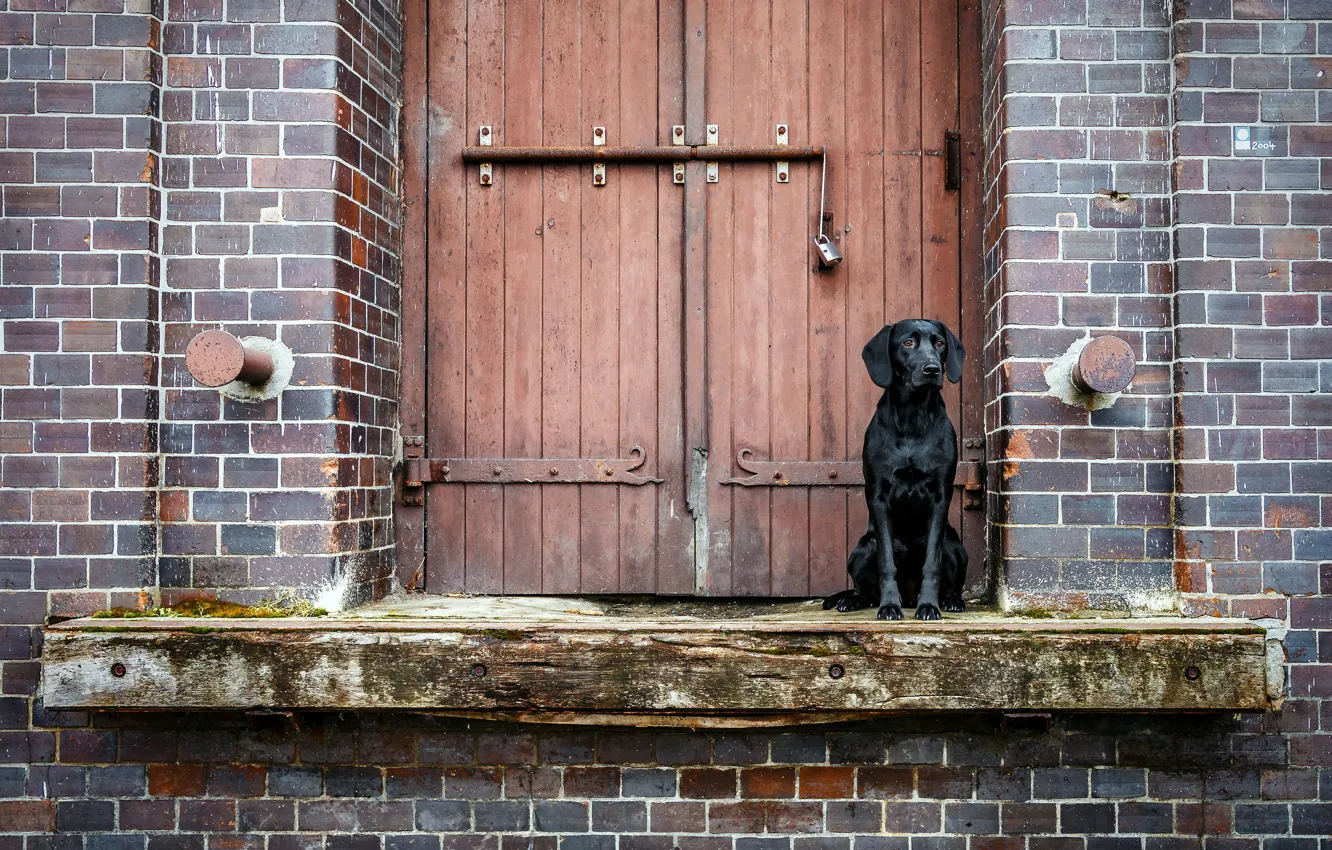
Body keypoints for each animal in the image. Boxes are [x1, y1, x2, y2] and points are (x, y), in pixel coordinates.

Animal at [820, 322, 969, 623]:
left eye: (939, 344)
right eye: (908, 343)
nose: (932, 369)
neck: (913, 415)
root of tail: (909, 596)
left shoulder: (940, 496)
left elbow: (931, 564)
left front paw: (929, 606)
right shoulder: (879, 496)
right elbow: (886, 563)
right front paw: (889, 606)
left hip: (955, 546)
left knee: (950, 581)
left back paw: (950, 601)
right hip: (862, 548)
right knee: (865, 589)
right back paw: (851, 601)